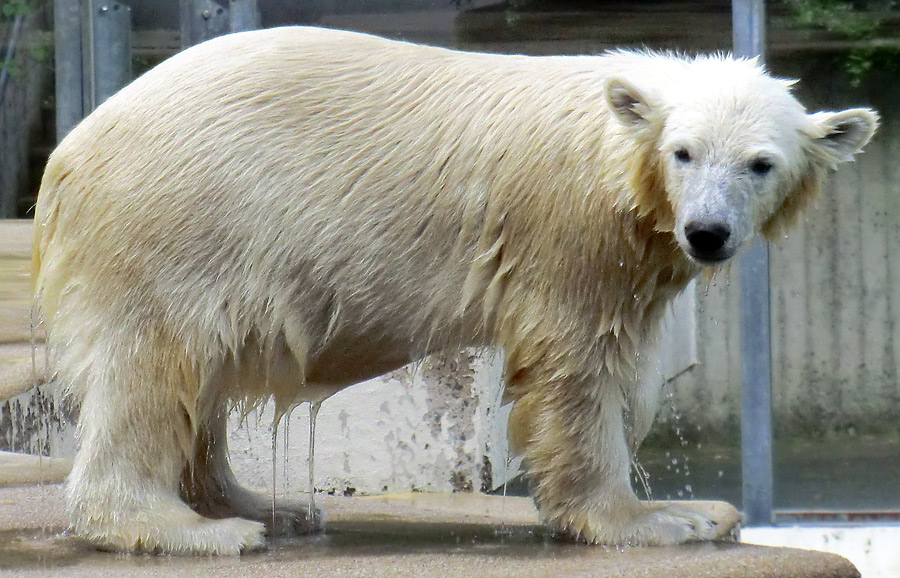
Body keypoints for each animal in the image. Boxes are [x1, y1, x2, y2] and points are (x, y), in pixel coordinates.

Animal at [33, 28, 872, 552]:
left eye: (761, 163)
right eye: (684, 152)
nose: (707, 232)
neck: (618, 148)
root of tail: (70, 149)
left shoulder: (633, 254)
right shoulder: (570, 230)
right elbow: (575, 370)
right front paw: (663, 519)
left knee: (195, 380)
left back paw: (263, 503)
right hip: (182, 220)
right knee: (154, 368)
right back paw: (195, 528)